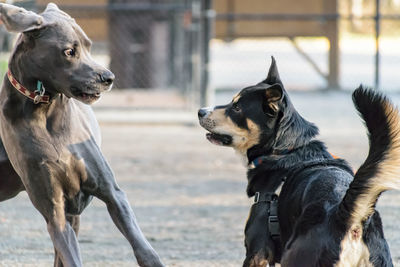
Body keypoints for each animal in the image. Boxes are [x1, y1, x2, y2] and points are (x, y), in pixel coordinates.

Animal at [0, 2, 164, 267]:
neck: (43, 109)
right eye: (69, 51)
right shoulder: (55, 211)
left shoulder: (113, 194)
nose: (108, 77)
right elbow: (69, 253)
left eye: (89, 46)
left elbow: (144, 248)